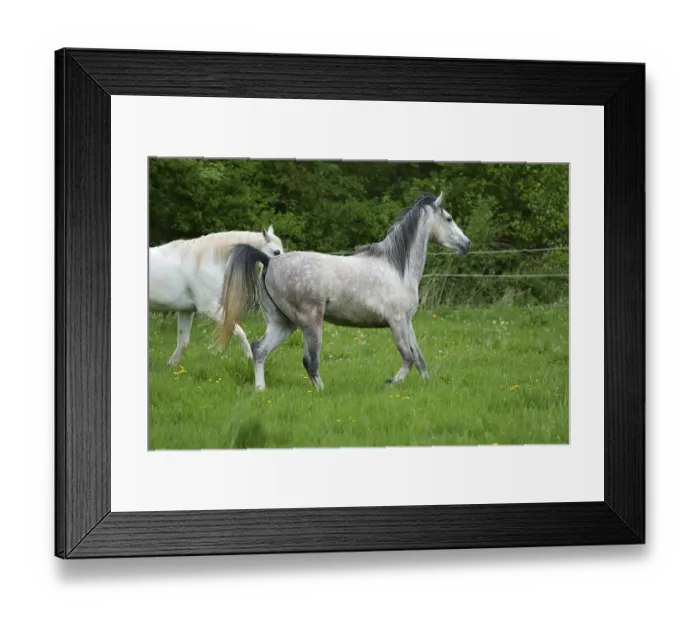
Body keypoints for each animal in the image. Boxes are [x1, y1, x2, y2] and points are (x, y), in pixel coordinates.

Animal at [148, 225, 284, 368]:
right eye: (276, 252)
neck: (203, 262)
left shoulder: (186, 311)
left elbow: (183, 342)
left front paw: (171, 366)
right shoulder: (208, 308)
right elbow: (238, 331)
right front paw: (250, 358)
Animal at [217, 192, 470, 391]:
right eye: (449, 218)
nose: (467, 244)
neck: (397, 268)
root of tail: (269, 261)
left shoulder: (407, 321)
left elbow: (419, 358)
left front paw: (427, 384)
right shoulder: (396, 321)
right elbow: (408, 358)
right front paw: (391, 383)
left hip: (284, 322)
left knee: (259, 349)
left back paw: (260, 390)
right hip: (310, 321)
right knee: (309, 360)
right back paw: (321, 390)